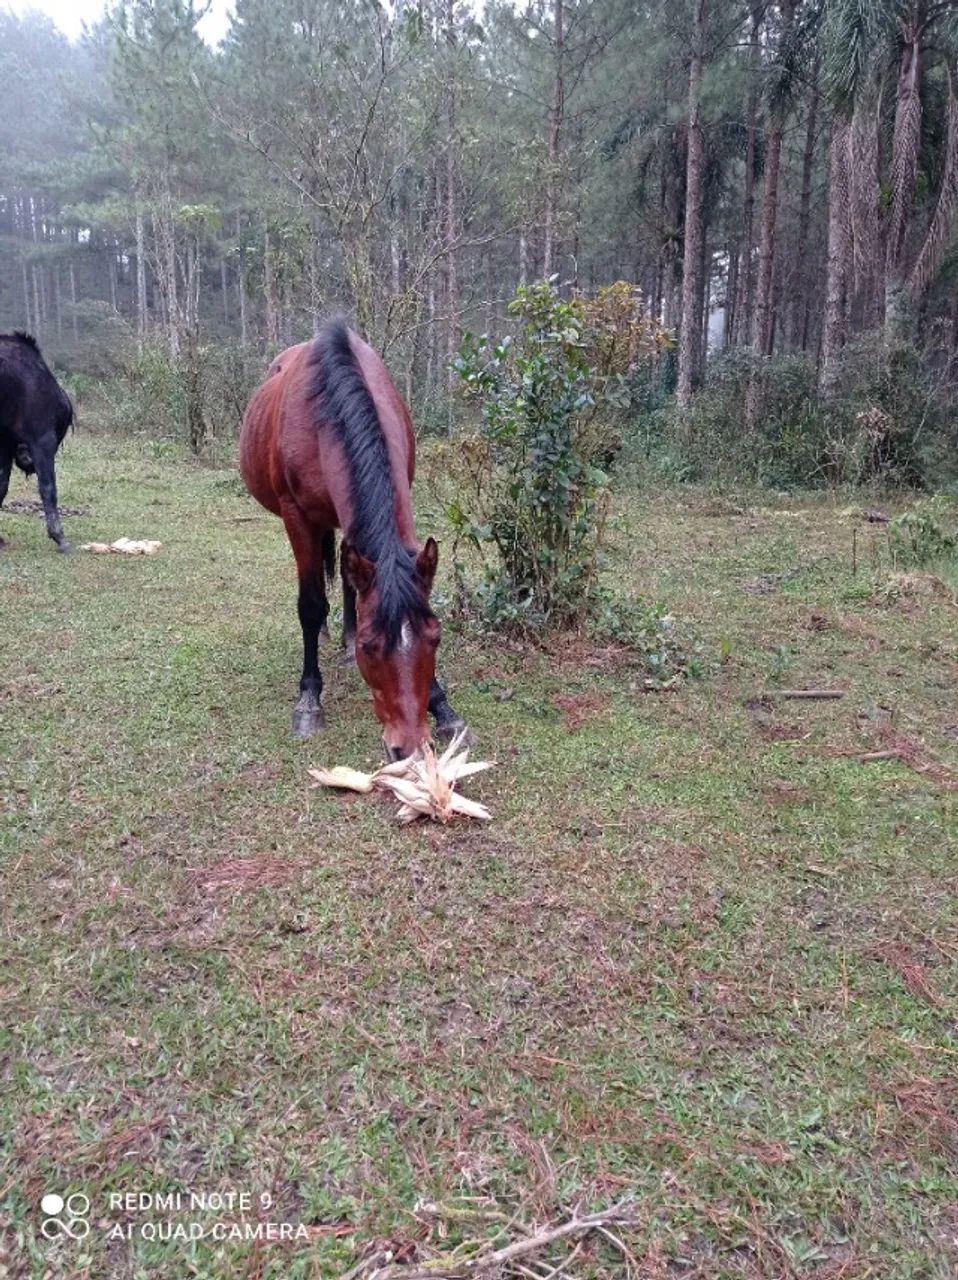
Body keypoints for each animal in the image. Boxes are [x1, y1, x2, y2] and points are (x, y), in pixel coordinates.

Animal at [0, 332, 74, 552]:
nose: (29, 464)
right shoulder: (43, 441)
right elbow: (48, 489)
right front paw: (58, 536)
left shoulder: (5, 445)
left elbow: (1, 486)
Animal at [239, 318, 471, 761]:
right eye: (370, 646)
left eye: (436, 638)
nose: (410, 749)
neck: (325, 412)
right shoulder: (297, 518)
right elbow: (311, 605)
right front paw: (309, 699)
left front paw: (442, 706)